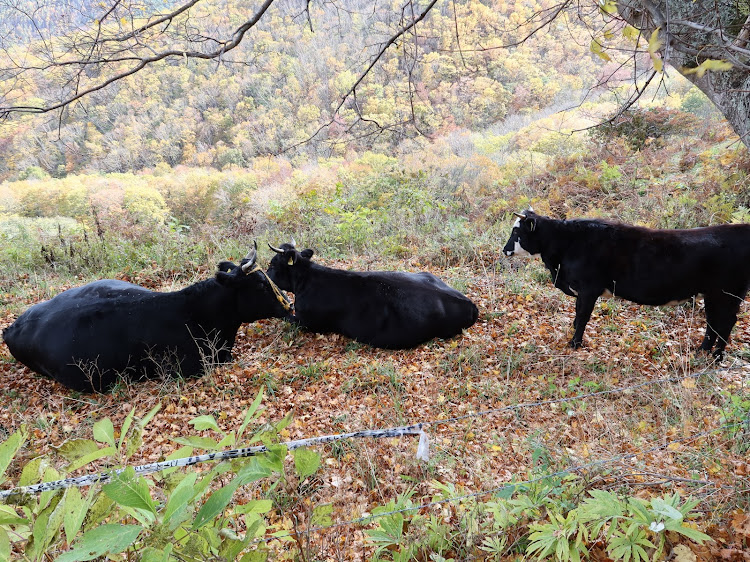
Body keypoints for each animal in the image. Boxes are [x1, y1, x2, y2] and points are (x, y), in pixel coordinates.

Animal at [268, 240, 478, 348]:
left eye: (273, 263)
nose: (265, 274)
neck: (307, 279)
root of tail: (470, 304)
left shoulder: (307, 322)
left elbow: (285, 315)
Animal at [506, 208, 750, 356]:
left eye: (517, 231)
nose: (504, 250)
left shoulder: (588, 289)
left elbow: (582, 317)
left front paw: (575, 344)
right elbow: (576, 315)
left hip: (726, 294)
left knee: (726, 322)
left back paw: (717, 356)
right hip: (715, 295)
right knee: (714, 322)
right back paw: (703, 351)